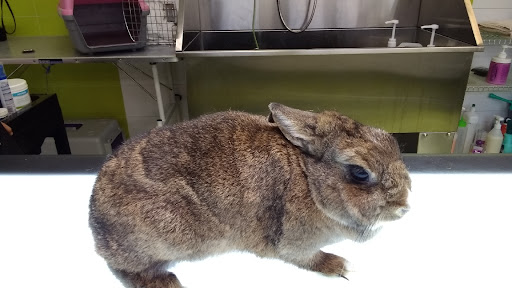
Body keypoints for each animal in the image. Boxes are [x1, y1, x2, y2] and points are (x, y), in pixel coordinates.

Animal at [90, 103, 410, 288]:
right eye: (359, 172)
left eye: (392, 142)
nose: (404, 206)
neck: (309, 179)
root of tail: (96, 224)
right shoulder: (294, 242)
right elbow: (308, 258)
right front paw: (342, 267)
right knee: (125, 269)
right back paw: (168, 283)